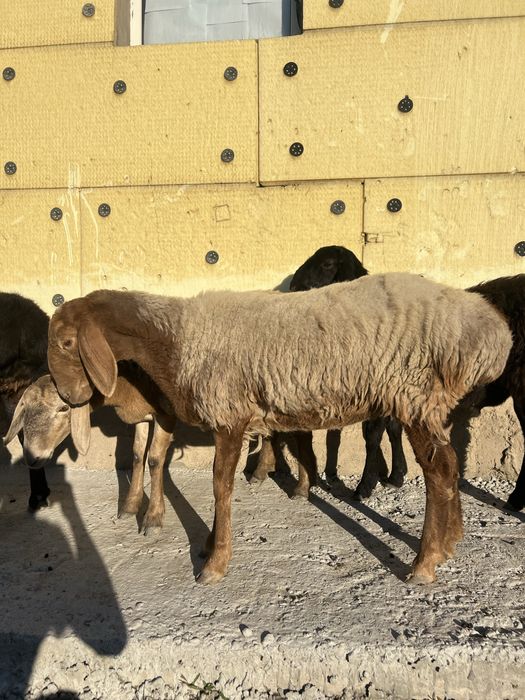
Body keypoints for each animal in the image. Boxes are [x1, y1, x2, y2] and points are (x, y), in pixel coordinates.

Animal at [4, 362, 176, 532]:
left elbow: (154, 459)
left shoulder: (165, 415)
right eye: (25, 407)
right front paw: (130, 507)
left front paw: (153, 518)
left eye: (64, 408)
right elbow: (137, 455)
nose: (32, 457)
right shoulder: (140, 414)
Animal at [46, 273, 512, 585]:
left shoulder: (230, 414)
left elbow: (221, 485)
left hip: (415, 394)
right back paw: (451, 542)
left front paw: (215, 563)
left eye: (68, 343)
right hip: (432, 404)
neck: (176, 339)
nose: (67, 396)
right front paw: (209, 545)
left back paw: (426, 562)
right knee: (450, 468)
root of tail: (493, 332)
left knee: (438, 473)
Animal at [250, 245, 408, 499]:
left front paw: (365, 485)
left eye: (327, 264)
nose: (294, 285)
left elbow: (371, 436)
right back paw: (396, 475)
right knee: (394, 427)